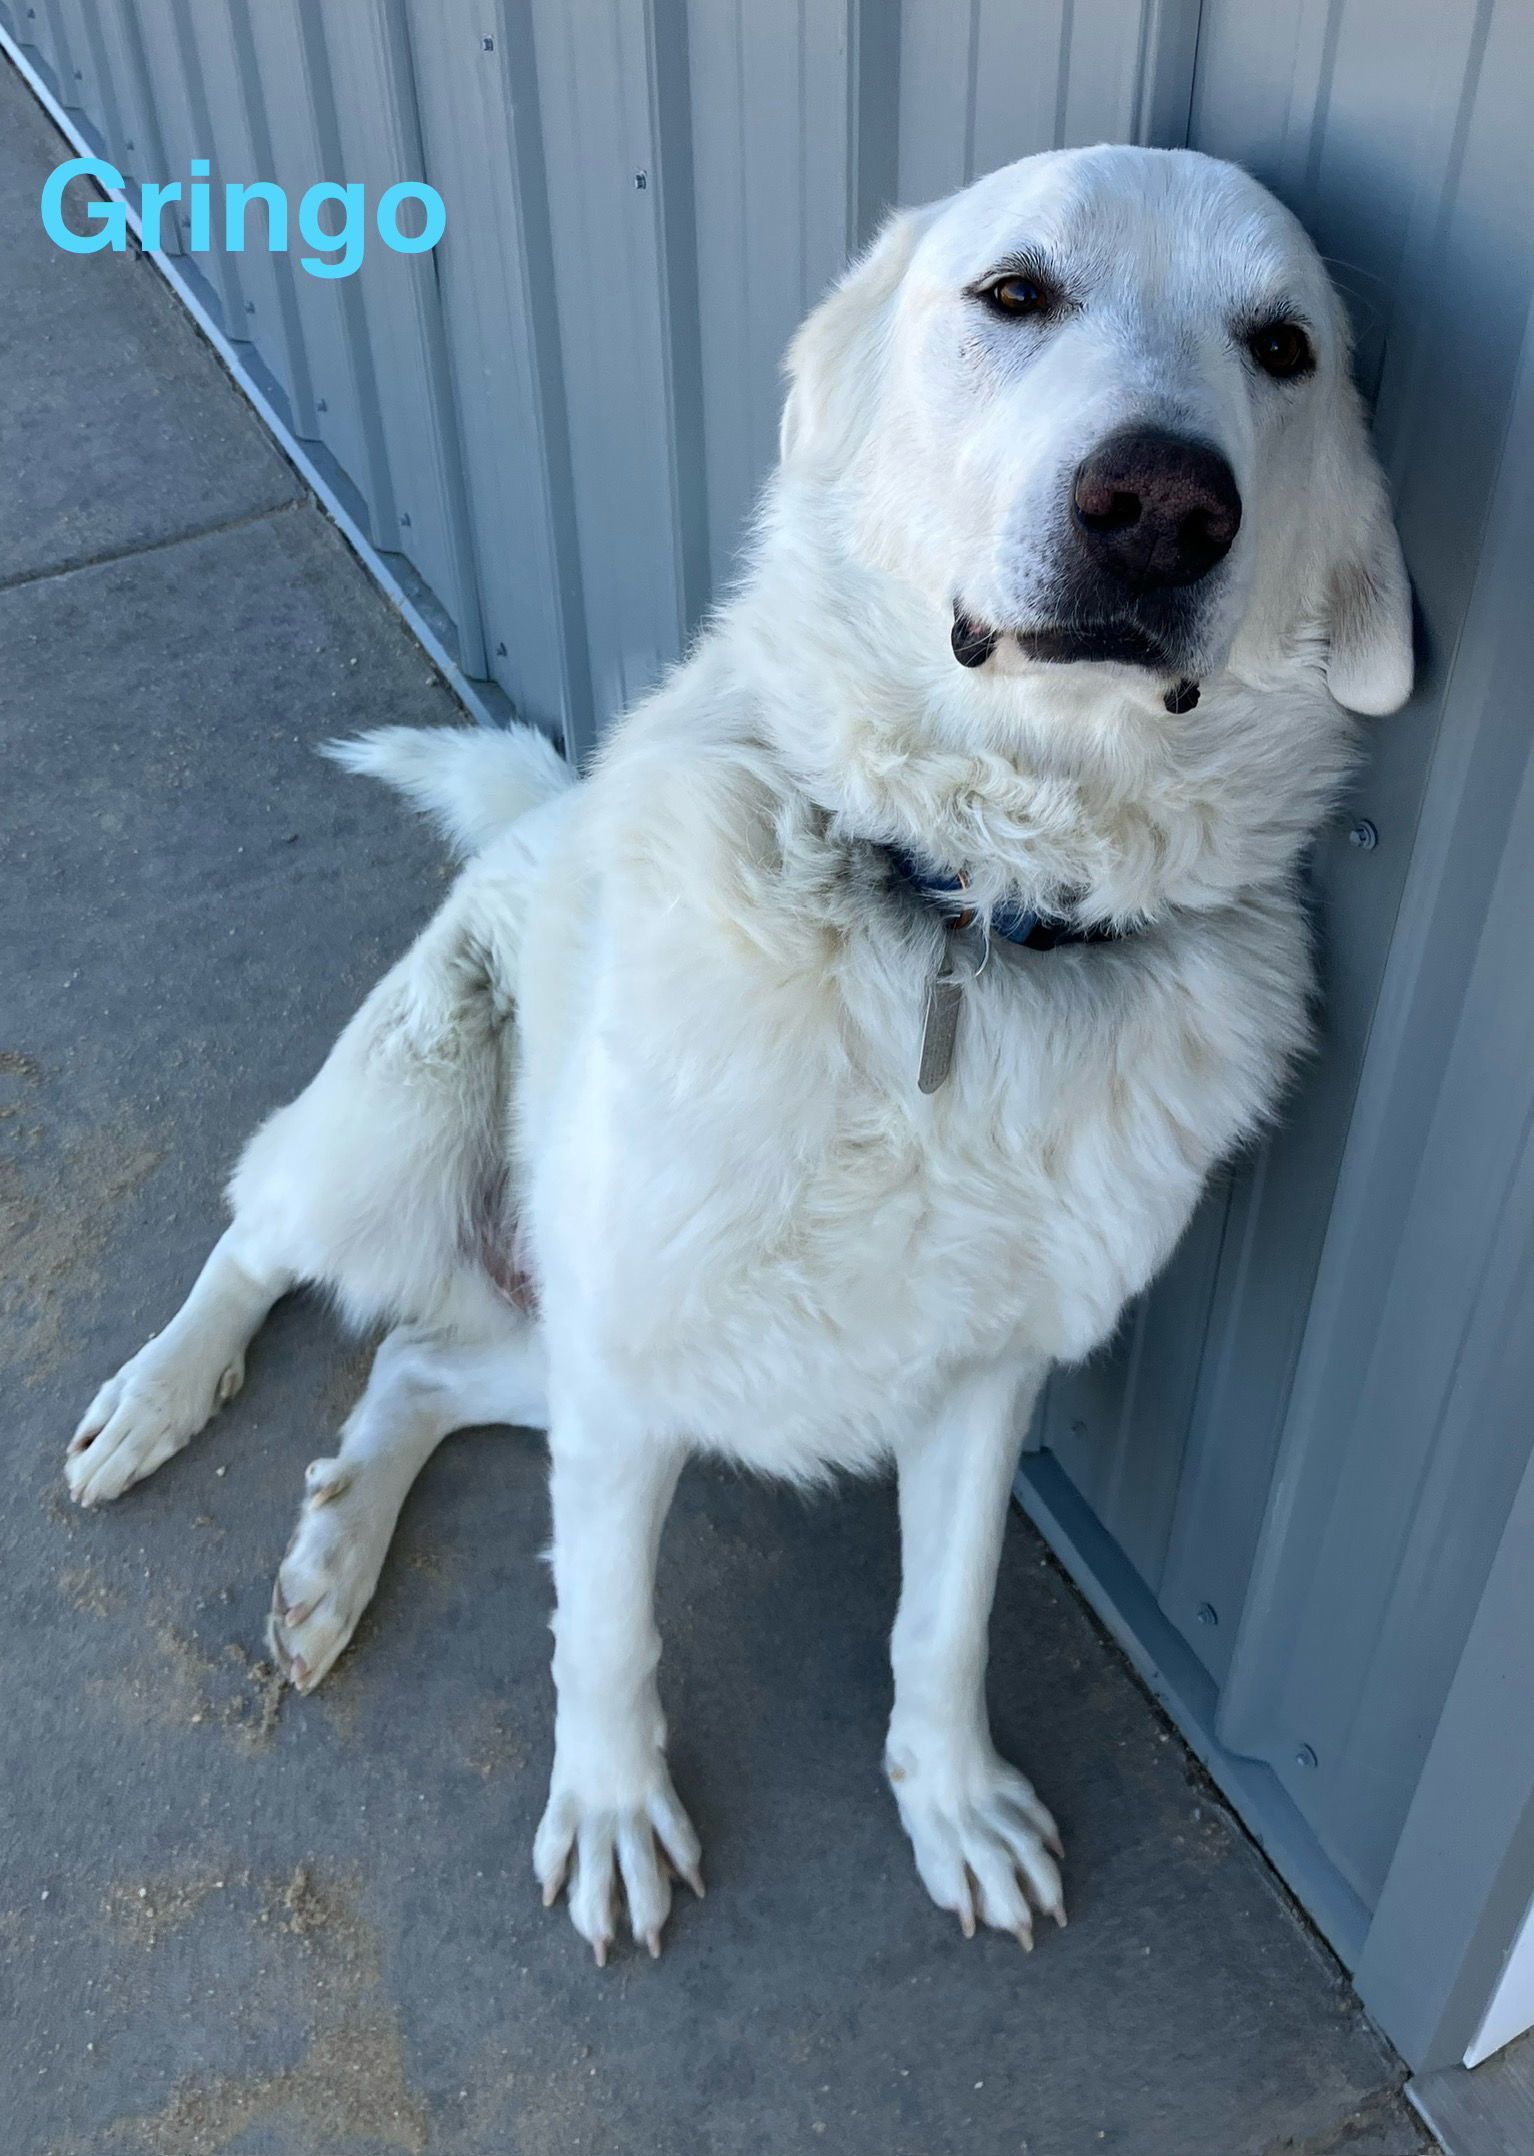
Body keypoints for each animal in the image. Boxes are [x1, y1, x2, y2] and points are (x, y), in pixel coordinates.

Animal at [65, 147, 1404, 1974]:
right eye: (1013, 293)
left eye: (1281, 348)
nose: (1159, 505)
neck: (965, 916)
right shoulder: (630, 1361)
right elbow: (605, 1629)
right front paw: (613, 1814)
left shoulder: (980, 1375)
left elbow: (944, 1621)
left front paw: (950, 1805)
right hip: (402, 1147)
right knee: (258, 1236)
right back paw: (154, 1398)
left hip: (544, 1345)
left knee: (409, 1364)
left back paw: (335, 1552)